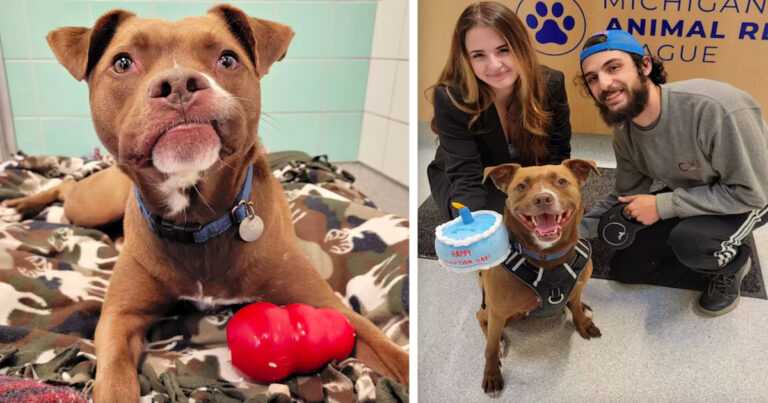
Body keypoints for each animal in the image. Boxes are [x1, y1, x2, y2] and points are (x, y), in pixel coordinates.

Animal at [43, 4, 408, 402]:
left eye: (227, 58)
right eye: (123, 62)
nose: (179, 84)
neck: (198, 217)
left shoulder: (330, 306)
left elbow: (392, 354)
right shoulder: (118, 320)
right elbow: (113, 380)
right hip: (94, 202)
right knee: (65, 186)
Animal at [480, 159, 600, 396]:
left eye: (562, 181)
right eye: (521, 186)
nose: (543, 198)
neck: (547, 258)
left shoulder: (578, 286)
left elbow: (576, 304)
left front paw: (582, 322)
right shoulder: (498, 312)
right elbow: (490, 347)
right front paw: (492, 373)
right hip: (491, 310)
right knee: (482, 320)